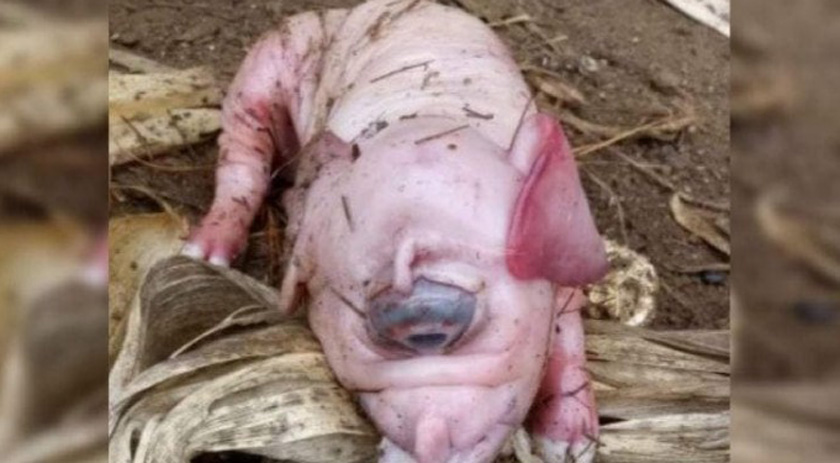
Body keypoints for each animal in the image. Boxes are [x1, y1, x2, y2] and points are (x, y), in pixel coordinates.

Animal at [182, 0, 609, 462]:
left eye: (435, 331)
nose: (428, 438)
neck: (434, 115)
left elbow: (568, 341)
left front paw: (568, 448)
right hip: (271, 58)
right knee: (242, 156)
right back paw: (201, 256)